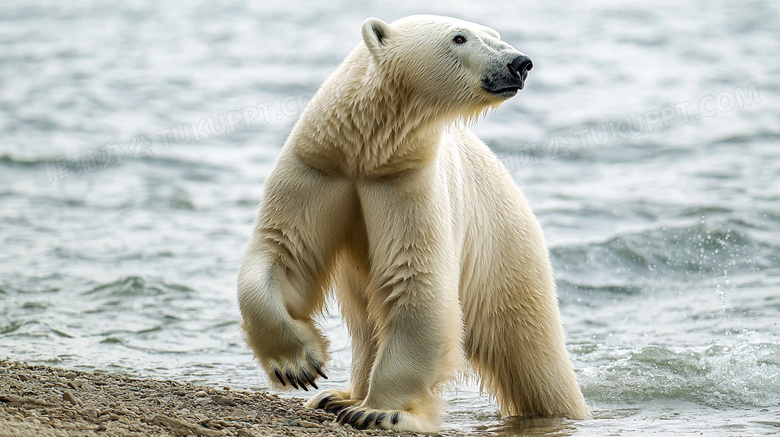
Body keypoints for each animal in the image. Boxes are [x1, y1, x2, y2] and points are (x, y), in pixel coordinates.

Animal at [238, 14, 592, 432]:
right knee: (367, 325)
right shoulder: (318, 170)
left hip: (505, 250)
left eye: (494, 34)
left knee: (531, 348)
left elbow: (417, 281)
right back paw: (338, 396)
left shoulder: (409, 182)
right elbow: (284, 253)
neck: (366, 154)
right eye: (460, 37)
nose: (520, 63)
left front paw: (381, 411)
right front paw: (300, 366)